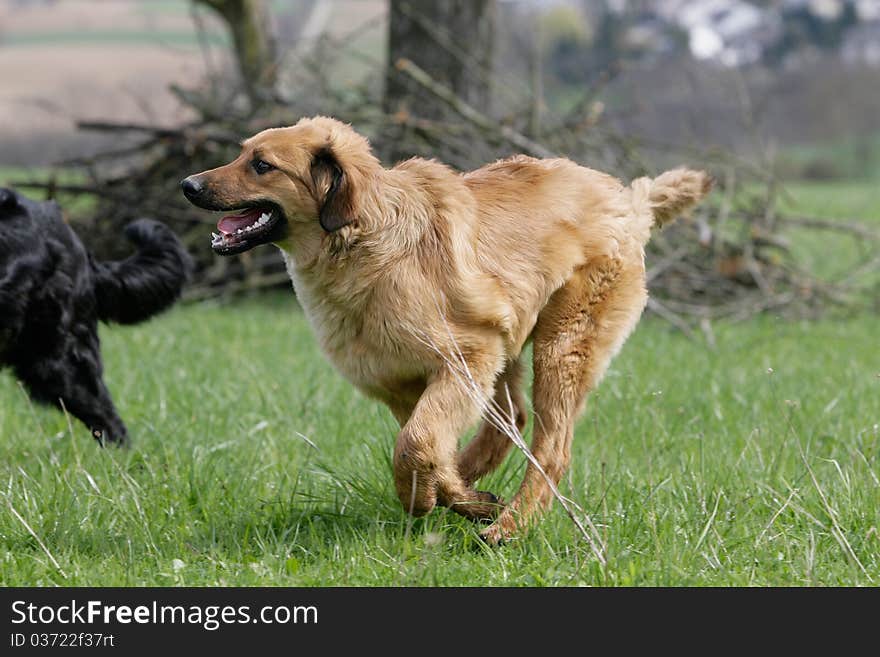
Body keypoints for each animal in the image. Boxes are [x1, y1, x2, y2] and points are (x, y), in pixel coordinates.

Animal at [182, 116, 712, 544]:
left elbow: (415, 446)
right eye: (242, 153)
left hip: (560, 348)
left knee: (551, 448)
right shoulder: (403, 382)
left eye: (262, 165)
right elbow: (428, 449)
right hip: (507, 347)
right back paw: (481, 490)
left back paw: (510, 527)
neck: (365, 239)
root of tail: (629, 202)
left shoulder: (464, 359)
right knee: (508, 422)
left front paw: (424, 500)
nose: (188, 185)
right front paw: (463, 498)